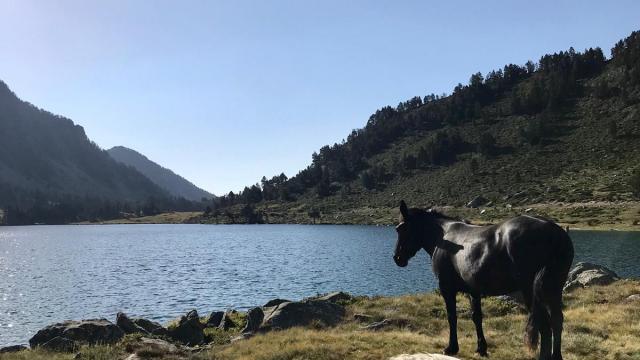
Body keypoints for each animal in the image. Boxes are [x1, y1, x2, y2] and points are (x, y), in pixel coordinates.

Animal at [392, 200, 572, 360]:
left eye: (400, 228)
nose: (397, 258)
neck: (443, 236)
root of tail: (554, 231)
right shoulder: (474, 291)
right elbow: (477, 317)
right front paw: (481, 348)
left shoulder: (447, 288)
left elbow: (452, 317)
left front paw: (451, 348)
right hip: (554, 289)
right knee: (557, 321)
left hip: (530, 291)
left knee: (544, 325)